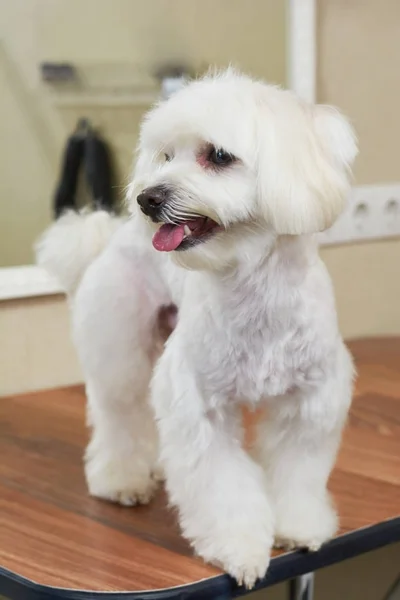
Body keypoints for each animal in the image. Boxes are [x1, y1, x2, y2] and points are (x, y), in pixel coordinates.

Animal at [36, 69, 356, 584]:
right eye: (165, 156)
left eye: (219, 156)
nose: (147, 198)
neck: (253, 288)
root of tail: (110, 233)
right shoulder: (197, 402)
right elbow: (221, 484)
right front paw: (240, 549)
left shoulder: (310, 401)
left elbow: (298, 471)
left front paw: (298, 526)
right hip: (121, 350)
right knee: (119, 416)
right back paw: (121, 479)